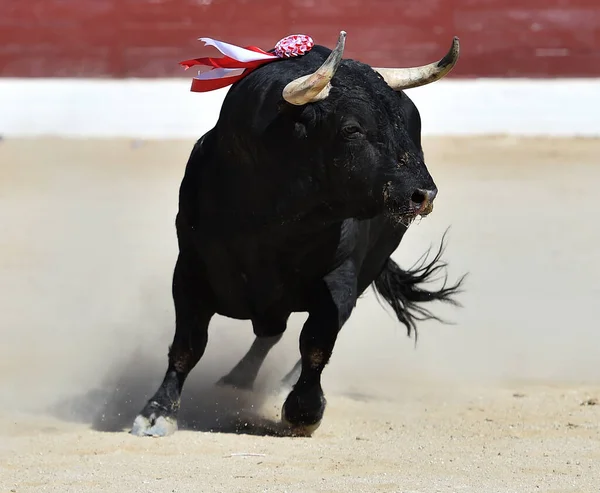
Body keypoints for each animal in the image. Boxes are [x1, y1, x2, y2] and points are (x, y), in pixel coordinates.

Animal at [131, 32, 466, 436]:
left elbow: (317, 343)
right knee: (268, 332)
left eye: (407, 124)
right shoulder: (190, 270)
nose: (424, 194)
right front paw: (156, 412)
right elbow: (188, 345)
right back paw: (236, 381)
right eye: (352, 128)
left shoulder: (340, 278)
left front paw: (303, 411)